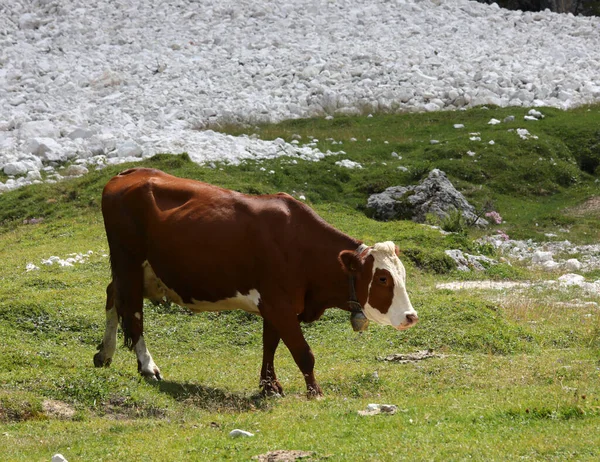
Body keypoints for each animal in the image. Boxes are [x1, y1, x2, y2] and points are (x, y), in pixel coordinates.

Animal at [94, 168, 420, 396]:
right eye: (382, 277)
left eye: (402, 275)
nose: (411, 316)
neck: (300, 245)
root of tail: (127, 174)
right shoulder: (279, 304)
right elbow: (304, 353)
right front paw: (315, 392)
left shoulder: (275, 304)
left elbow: (269, 345)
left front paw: (269, 386)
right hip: (128, 263)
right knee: (133, 313)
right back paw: (147, 366)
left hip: (132, 271)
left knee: (112, 295)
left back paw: (104, 353)